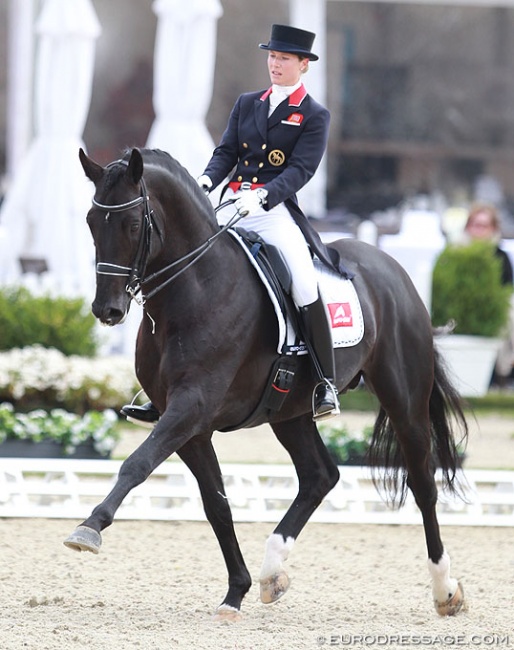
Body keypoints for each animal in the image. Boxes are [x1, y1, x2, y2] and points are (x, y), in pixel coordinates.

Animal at [63, 146, 464, 616]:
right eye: (91, 221)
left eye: (130, 223)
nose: (106, 310)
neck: (196, 288)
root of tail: (392, 269)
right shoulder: (189, 425)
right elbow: (216, 505)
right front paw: (235, 592)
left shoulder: (190, 407)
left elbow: (136, 464)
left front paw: (89, 528)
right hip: (290, 411)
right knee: (320, 476)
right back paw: (273, 572)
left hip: (404, 400)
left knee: (423, 484)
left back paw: (445, 590)